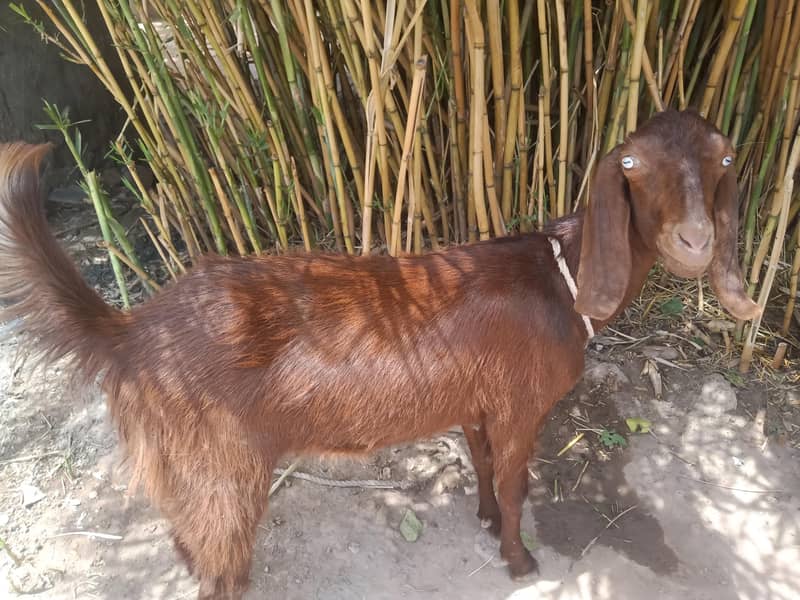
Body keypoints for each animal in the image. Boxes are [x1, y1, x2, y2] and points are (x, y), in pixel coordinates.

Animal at [0, 109, 759, 599]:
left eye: (724, 159)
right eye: (631, 165)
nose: (695, 240)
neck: (562, 274)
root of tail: (129, 331)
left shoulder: (477, 402)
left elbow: (485, 468)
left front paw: (485, 521)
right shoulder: (519, 403)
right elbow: (518, 485)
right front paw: (518, 561)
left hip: (177, 462)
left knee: (187, 535)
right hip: (222, 467)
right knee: (222, 562)